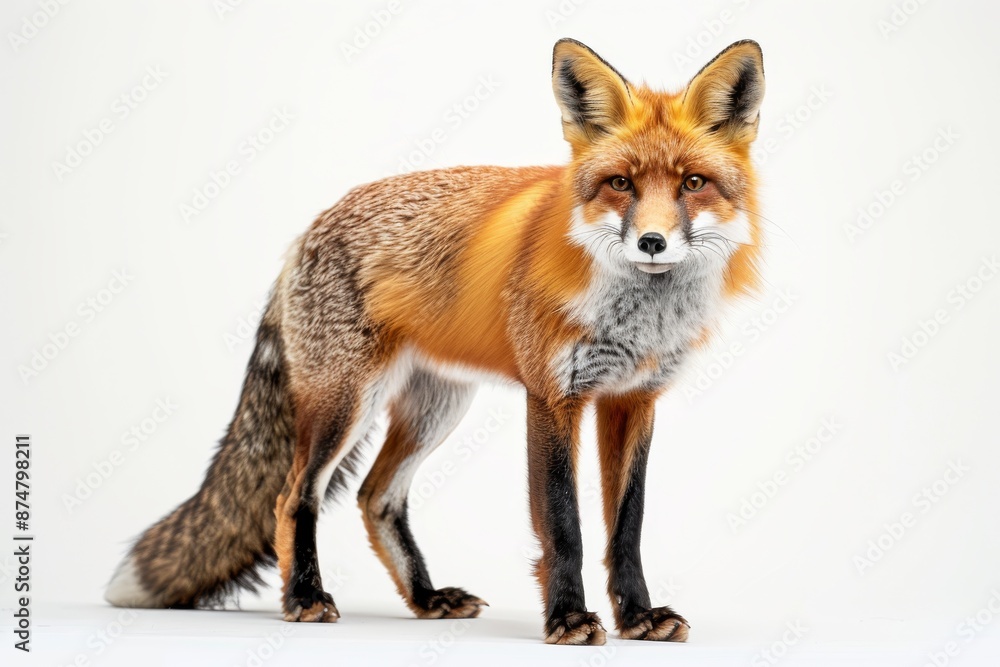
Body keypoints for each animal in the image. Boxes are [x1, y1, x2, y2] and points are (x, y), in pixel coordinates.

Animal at [106, 38, 766, 645]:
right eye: (620, 183)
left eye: (694, 183)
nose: (652, 242)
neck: (638, 317)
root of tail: (307, 231)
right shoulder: (553, 396)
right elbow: (564, 526)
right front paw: (568, 619)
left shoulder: (634, 399)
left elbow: (627, 529)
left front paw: (637, 617)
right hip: (345, 403)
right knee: (294, 497)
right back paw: (305, 597)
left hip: (436, 407)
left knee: (375, 496)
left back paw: (424, 599)